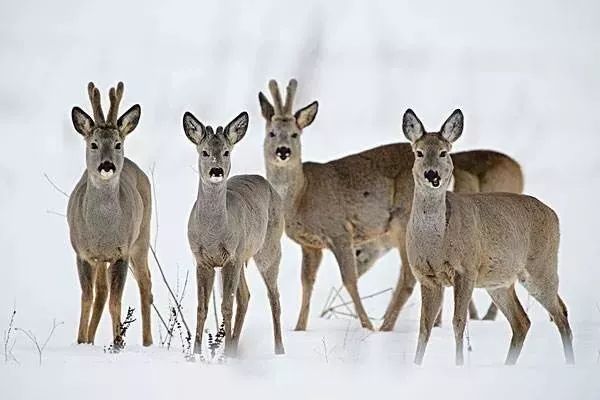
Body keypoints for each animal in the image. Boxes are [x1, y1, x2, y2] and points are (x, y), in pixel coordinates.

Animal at [68, 82, 154, 346]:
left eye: (118, 144)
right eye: (93, 144)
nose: (107, 165)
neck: (103, 230)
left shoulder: (120, 252)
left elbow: (116, 300)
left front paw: (118, 341)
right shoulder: (83, 253)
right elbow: (87, 296)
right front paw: (80, 340)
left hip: (142, 237)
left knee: (145, 282)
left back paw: (148, 341)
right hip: (102, 259)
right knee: (101, 292)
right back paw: (90, 338)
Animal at [183, 110, 286, 356]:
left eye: (226, 152)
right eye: (204, 152)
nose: (216, 170)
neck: (213, 234)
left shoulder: (231, 257)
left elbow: (226, 306)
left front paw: (222, 352)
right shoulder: (202, 259)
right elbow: (202, 307)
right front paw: (196, 353)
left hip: (269, 248)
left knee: (274, 297)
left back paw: (279, 350)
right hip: (244, 256)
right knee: (246, 296)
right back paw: (235, 348)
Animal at [260, 79, 524, 332]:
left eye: (295, 134)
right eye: (271, 133)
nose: (283, 151)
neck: (301, 194)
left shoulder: (340, 230)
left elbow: (349, 280)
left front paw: (366, 326)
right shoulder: (310, 245)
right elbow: (307, 283)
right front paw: (299, 328)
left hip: (403, 221)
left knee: (408, 277)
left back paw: (386, 326)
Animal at [400, 108, 576, 364]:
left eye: (444, 152)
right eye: (419, 152)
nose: (432, 174)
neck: (437, 243)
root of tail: (553, 215)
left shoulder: (466, 269)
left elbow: (458, 323)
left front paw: (459, 364)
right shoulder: (427, 276)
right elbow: (424, 327)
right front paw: (416, 365)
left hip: (541, 265)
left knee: (560, 312)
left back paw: (570, 363)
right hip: (499, 281)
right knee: (522, 321)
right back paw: (508, 365)